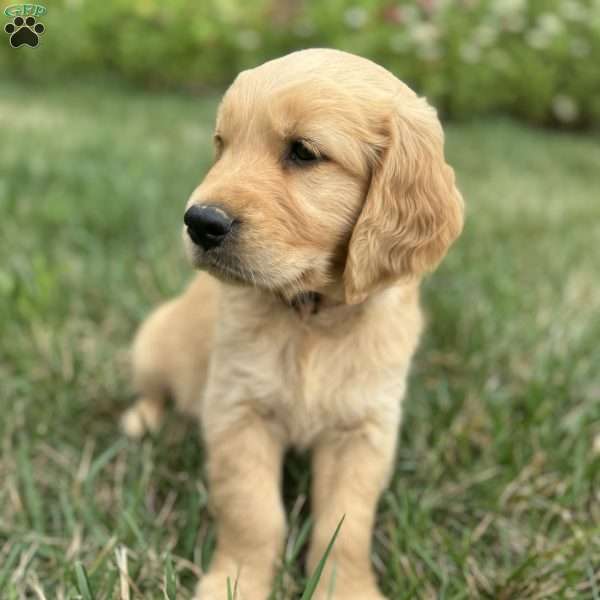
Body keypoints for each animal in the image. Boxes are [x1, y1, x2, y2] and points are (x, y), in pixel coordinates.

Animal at [122, 48, 464, 600]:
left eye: (303, 152)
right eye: (222, 145)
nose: (199, 222)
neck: (312, 315)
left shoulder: (364, 429)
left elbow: (345, 525)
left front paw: (347, 589)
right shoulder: (239, 411)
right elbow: (254, 514)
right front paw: (236, 582)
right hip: (152, 341)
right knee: (155, 391)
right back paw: (145, 421)